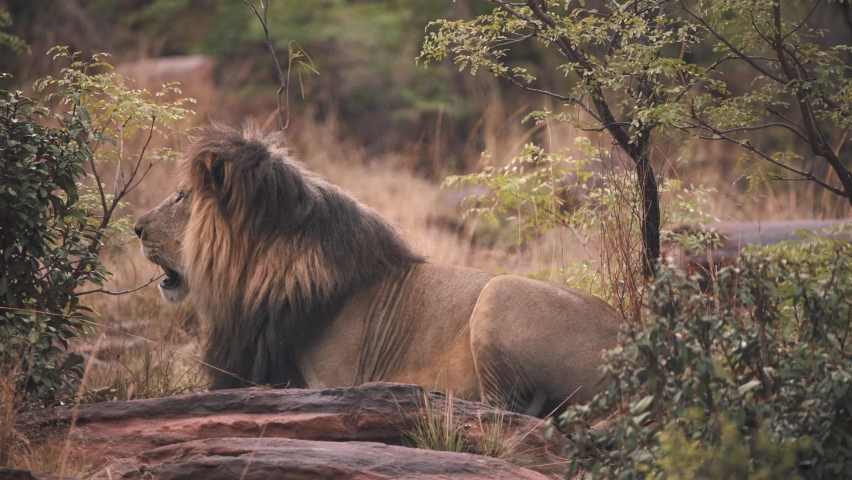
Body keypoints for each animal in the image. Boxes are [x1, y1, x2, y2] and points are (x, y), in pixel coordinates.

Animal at [134, 122, 620, 416]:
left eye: (181, 196)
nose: (136, 228)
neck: (252, 280)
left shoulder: (331, 382)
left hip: (499, 293)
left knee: (506, 413)